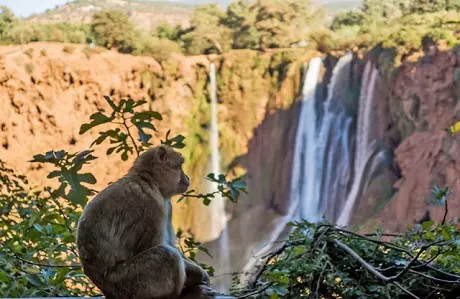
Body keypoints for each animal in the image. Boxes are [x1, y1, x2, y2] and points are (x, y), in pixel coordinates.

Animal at [77, 146, 216, 299]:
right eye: (179, 166)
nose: (187, 178)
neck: (148, 180)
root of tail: (108, 291)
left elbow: (168, 243)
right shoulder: (151, 204)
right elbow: (155, 245)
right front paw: (199, 274)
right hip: (128, 283)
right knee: (167, 255)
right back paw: (185, 295)